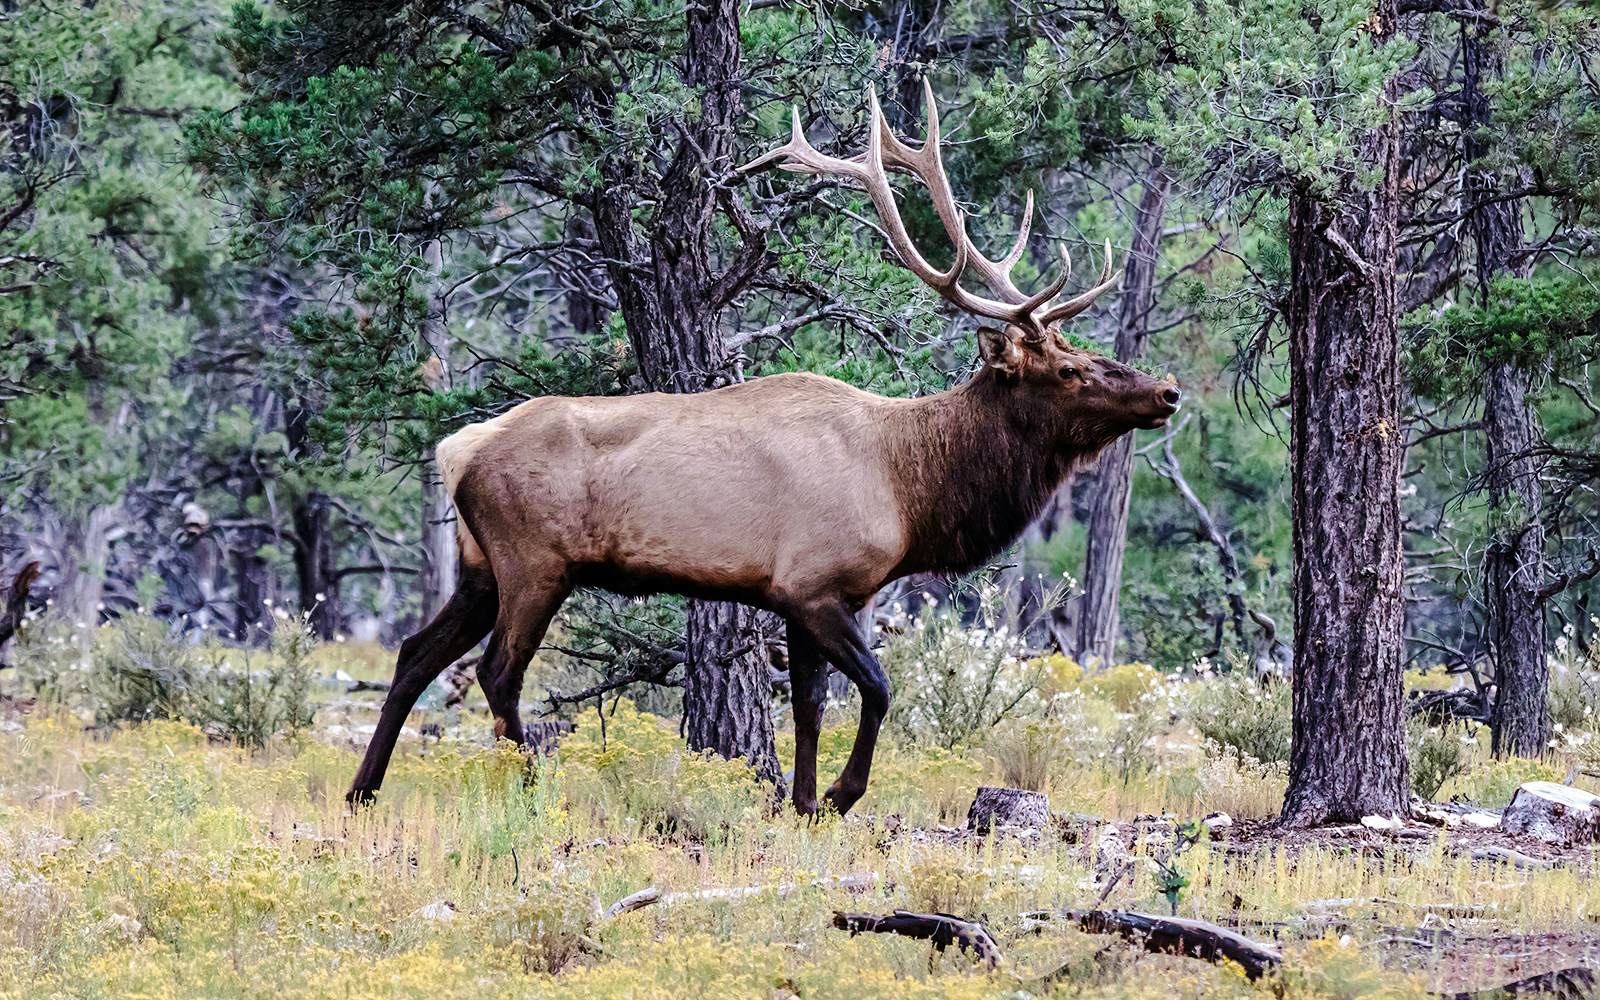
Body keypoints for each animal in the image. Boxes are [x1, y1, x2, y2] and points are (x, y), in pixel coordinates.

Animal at [347, 82, 1181, 816]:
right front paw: (841, 795)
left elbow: (808, 706)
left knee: (415, 654)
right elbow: (877, 688)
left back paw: (363, 792)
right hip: (534, 561)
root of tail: (458, 449)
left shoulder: (811, 595)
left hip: (478, 564)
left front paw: (801, 804)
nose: (1166, 391)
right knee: (496, 672)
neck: (911, 492)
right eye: (1068, 369)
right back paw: (525, 790)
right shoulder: (815, 584)